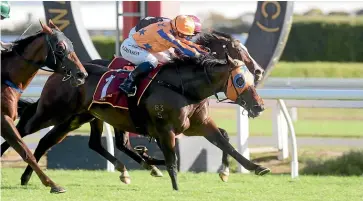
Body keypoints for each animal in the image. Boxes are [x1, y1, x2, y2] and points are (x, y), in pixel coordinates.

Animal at [0, 20, 87, 193]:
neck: (5, 77)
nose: (82, 75)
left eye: (71, 44)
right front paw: (52, 184)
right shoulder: (4, 118)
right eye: (60, 46)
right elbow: (25, 151)